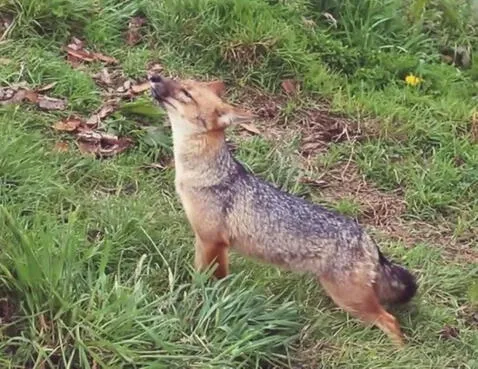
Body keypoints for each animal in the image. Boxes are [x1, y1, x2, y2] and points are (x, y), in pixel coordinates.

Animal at [150, 74, 418, 344]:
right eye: (177, 79)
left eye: (186, 93)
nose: (154, 76)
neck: (206, 174)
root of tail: (367, 238)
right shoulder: (203, 239)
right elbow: (200, 274)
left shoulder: (214, 242)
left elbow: (211, 281)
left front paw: (206, 300)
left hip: (350, 299)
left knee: (391, 322)